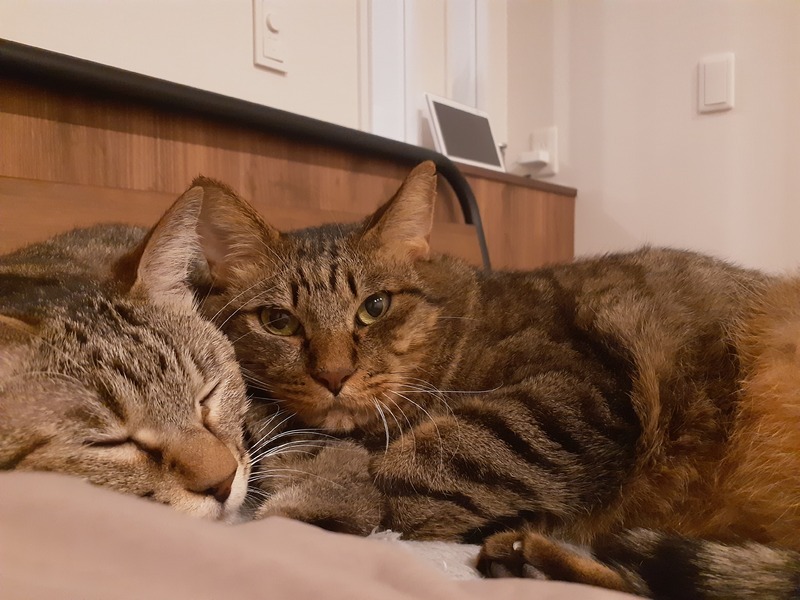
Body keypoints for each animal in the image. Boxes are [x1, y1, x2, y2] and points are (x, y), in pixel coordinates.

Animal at [190, 163, 800, 598]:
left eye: (374, 307)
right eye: (278, 321)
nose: (334, 374)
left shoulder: (575, 391)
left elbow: (411, 473)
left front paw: (313, 508)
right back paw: (532, 561)